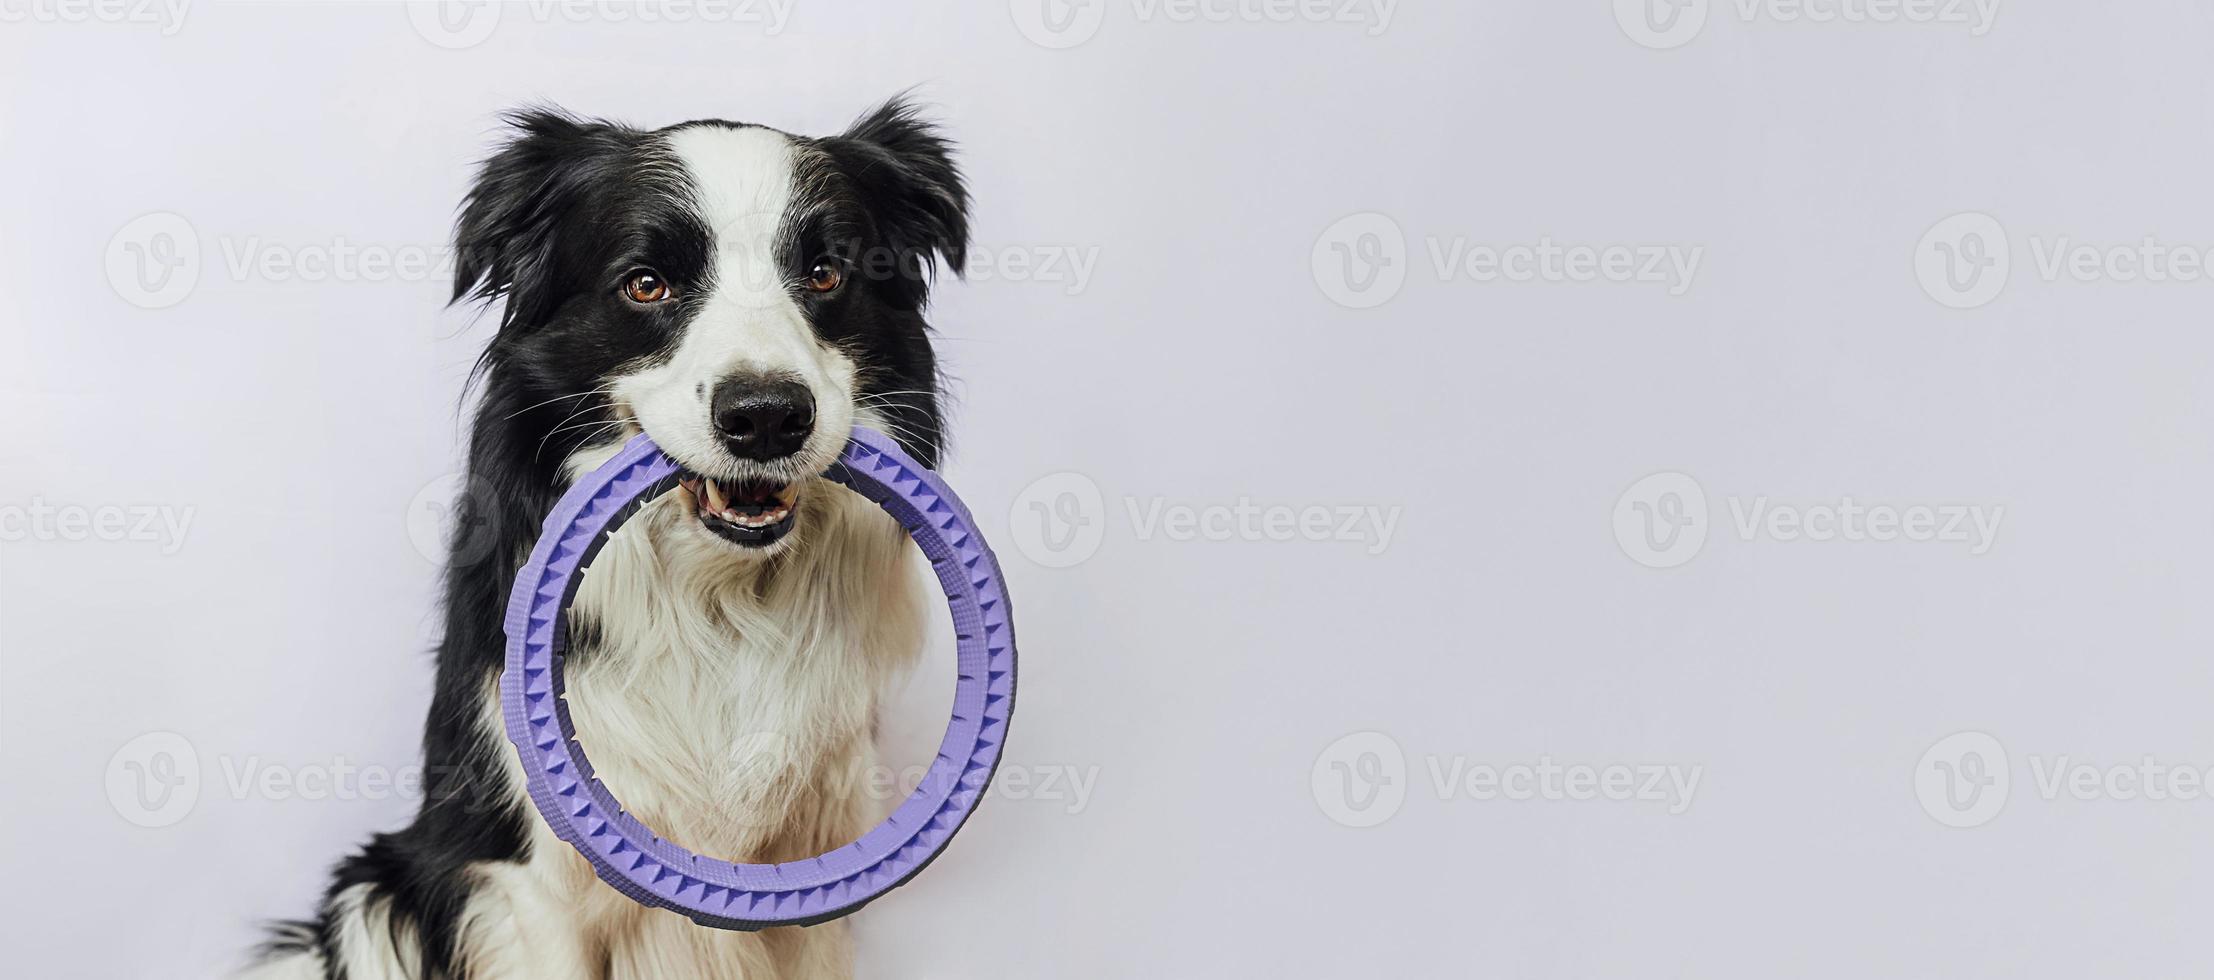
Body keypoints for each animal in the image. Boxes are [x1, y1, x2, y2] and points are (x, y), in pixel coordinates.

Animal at [244, 97, 969, 980]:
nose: (766, 416)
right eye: (645, 284)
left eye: (827, 274)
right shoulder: (531, 882)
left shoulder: (816, 873)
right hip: (375, 896)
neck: (721, 600)